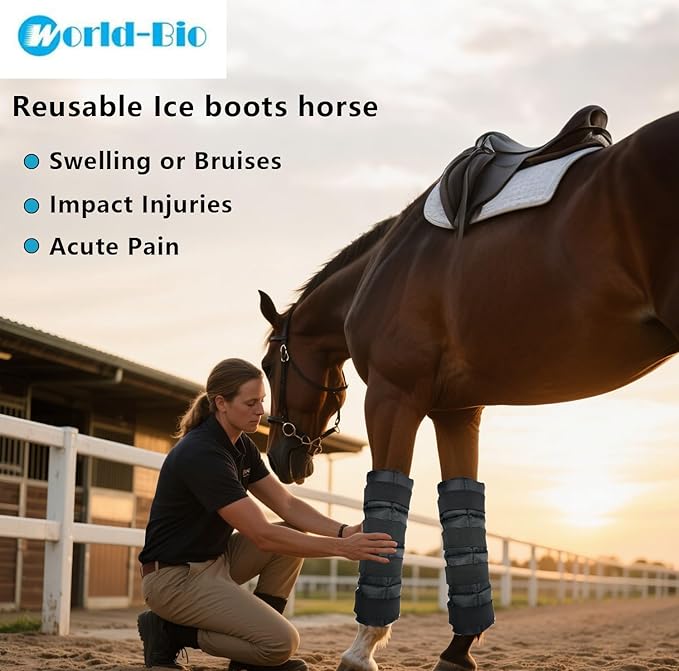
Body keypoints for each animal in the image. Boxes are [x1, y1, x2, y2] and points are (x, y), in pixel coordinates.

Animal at [258, 107, 679, 671]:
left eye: (267, 365)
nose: (281, 458)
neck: (386, 264)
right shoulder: (457, 411)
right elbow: (463, 513)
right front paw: (459, 648)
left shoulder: (393, 398)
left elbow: (387, 512)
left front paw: (363, 646)